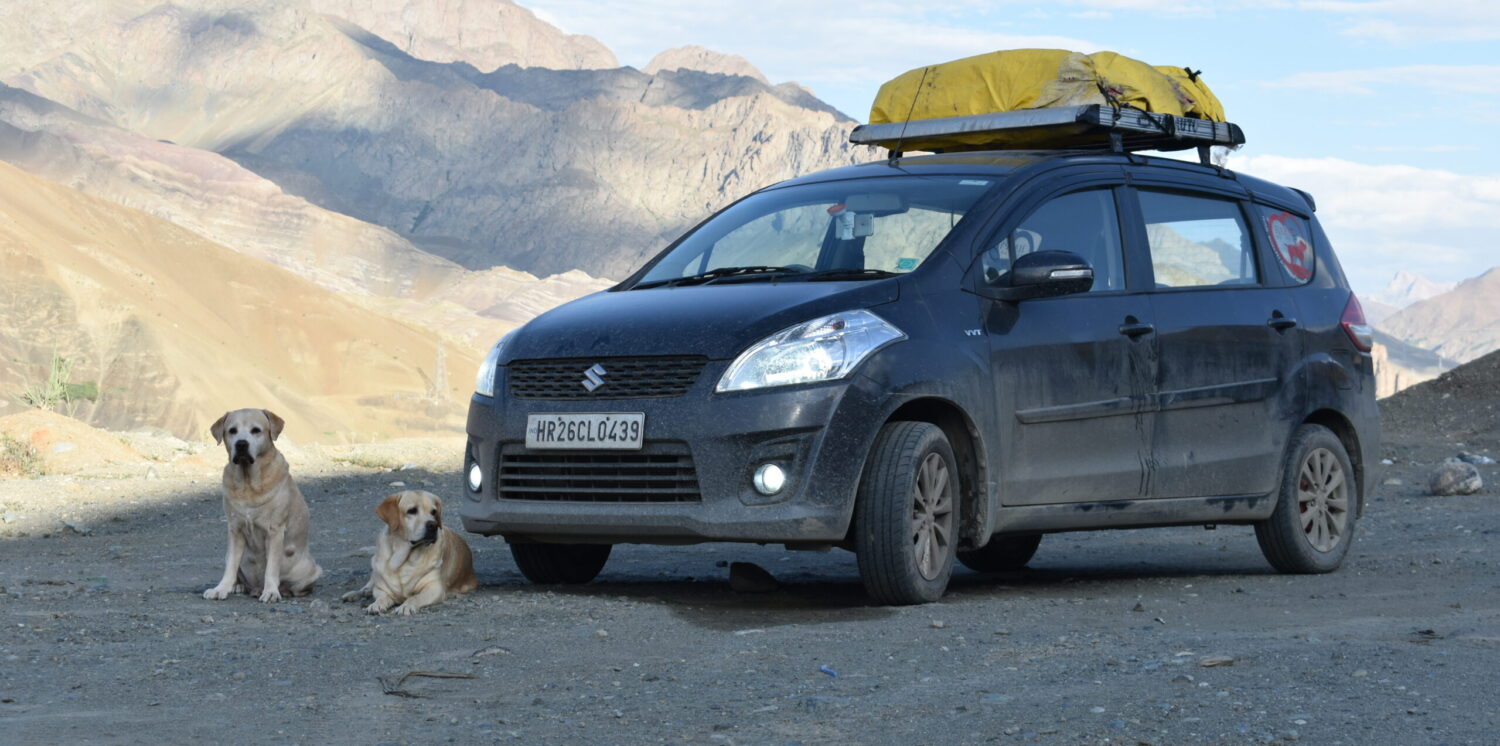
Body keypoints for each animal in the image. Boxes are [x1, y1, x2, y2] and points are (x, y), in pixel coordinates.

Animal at [202, 409, 322, 603]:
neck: (248, 484)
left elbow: (271, 568)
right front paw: (221, 589)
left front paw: (271, 591)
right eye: (232, 430)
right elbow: (230, 567)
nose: (241, 444)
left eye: (256, 430)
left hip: (311, 569)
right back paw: (238, 586)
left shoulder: (275, 531)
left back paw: (283, 590)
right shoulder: (235, 530)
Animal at [342, 490, 476, 615]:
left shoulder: (434, 588)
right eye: (412, 511)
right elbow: (382, 597)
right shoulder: (381, 588)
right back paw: (354, 594)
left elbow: (415, 597)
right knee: (367, 587)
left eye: (433, 512)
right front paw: (376, 605)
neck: (405, 560)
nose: (433, 525)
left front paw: (406, 606)